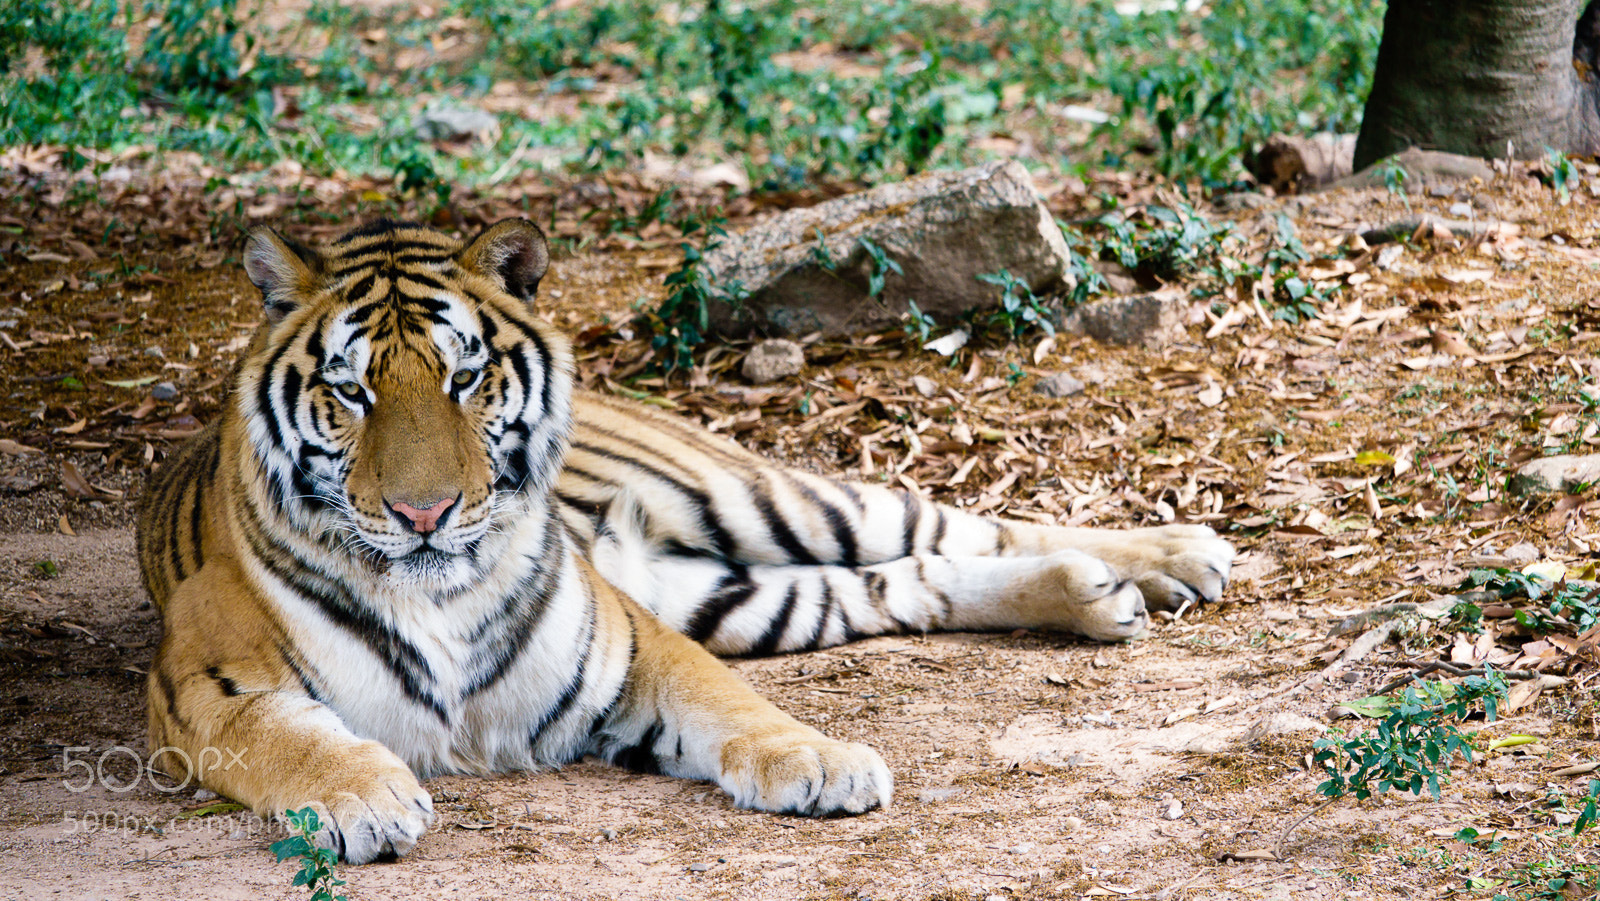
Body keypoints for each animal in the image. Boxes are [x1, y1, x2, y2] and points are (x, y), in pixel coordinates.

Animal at [136, 217, 1234, 864]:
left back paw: (1180, 555)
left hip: (764, 497)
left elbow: (728, 700)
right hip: (744, 595)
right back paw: (1096, 594)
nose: (423, 513)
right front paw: (363, 795)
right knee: (908, 579)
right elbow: (287, 735)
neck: (438, 587)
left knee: (952, 520)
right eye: (352, 391)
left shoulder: (631, 643)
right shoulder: (203, 681)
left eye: (464, 377)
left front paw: (820, 761)